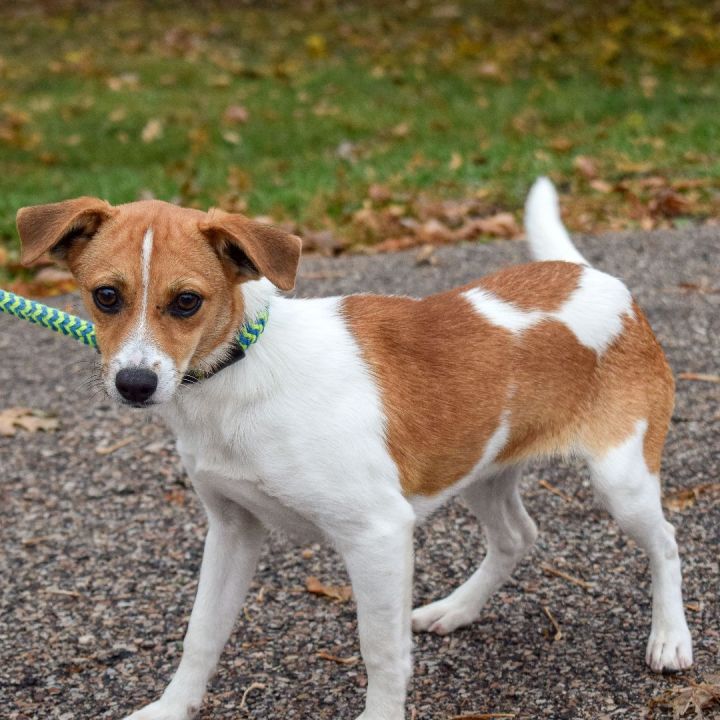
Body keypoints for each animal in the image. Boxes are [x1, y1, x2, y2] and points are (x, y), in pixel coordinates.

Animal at [16, 179, 692, 720]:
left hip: (619, 477)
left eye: (187, 301)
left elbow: (382, 651)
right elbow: (201, 634)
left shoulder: (378, 534)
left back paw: (670, 637)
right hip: (480, 463)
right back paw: (457, 609)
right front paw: (171, 708)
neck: (240, 372)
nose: (135, 384)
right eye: (105, 295)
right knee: (516, 537)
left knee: (664, 541)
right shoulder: (232, 529)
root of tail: (599, 281)